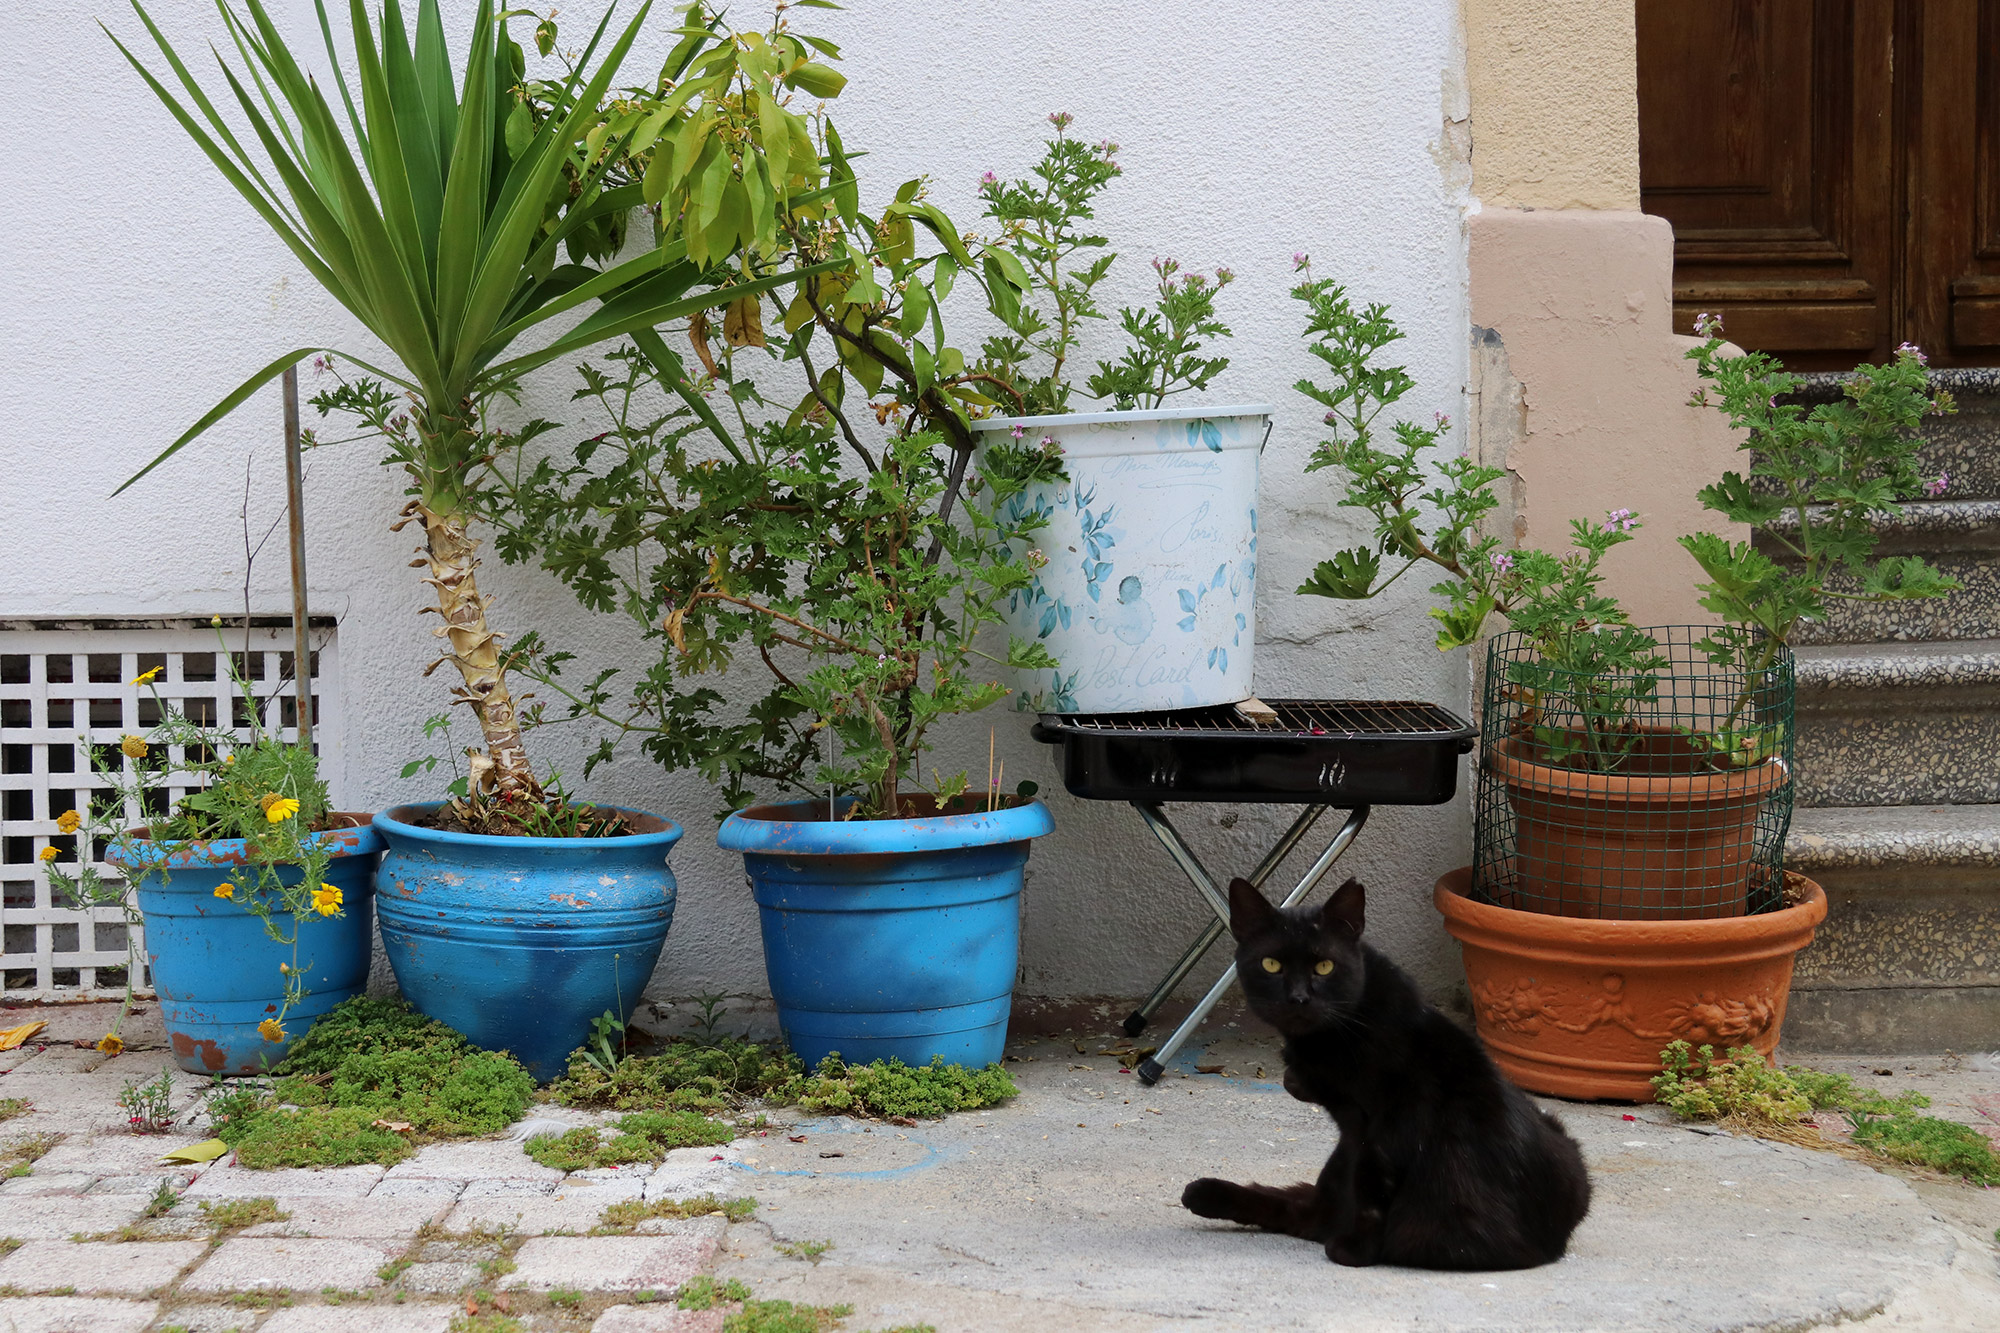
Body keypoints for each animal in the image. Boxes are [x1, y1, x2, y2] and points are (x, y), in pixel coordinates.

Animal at [1184, 872, 1592, 1264]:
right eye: (1272, 965)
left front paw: (1355, 1252)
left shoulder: (1390, 1120)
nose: (1299, 998)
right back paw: (1203, 1193)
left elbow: (1373, 1188)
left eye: (1324, 967)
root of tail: (1549, 1246)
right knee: (1301, 1208)